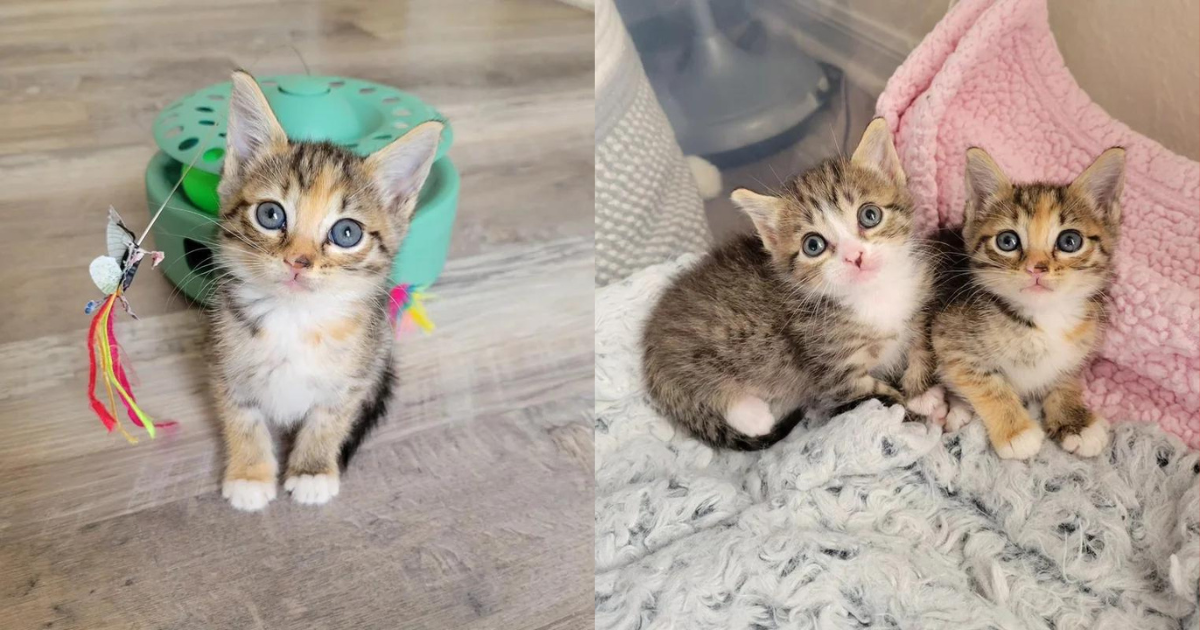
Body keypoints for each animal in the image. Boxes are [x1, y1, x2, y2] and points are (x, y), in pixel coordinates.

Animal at [212, 71, 446, 508]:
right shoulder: (224, 364)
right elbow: (242, 418)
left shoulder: (354, 378)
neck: (295, 318)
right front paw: (250, 475)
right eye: (270, 215)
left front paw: (312, 470)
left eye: (346, 233)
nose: (298, 261)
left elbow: (329, 421)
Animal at [643, 117, 940, 448]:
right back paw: (751, 414)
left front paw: (924, 393)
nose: (855, 256)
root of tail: (652, 334)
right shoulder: (837, 376)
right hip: (694, 352)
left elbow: (921, 353)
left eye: (870, 215)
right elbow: (884, 400)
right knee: (698, 381)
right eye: (813, 245)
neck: (874, 294)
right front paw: (919, 416)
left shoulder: (919, 314)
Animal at [936, 148, 1123, 460]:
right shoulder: (950, 339)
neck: (1044, 317)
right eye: (1007, 241)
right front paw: (1017, 431)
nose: (1037, 267)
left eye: (1069, 241)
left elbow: (1066, 375)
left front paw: (1075, 420)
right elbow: (986, 383)